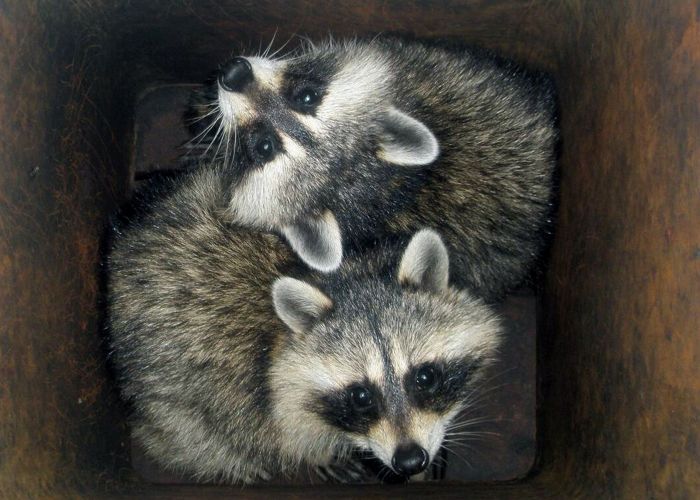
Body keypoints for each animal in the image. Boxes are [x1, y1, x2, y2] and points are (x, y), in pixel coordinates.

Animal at [107, 166, 502, 483]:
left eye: (425, 376)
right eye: (360, 395)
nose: (409, 460)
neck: (345, 272)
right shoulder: (260, 391)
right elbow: (279, 429)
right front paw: (322, 453)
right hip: (164, 386)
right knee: (196, 436)